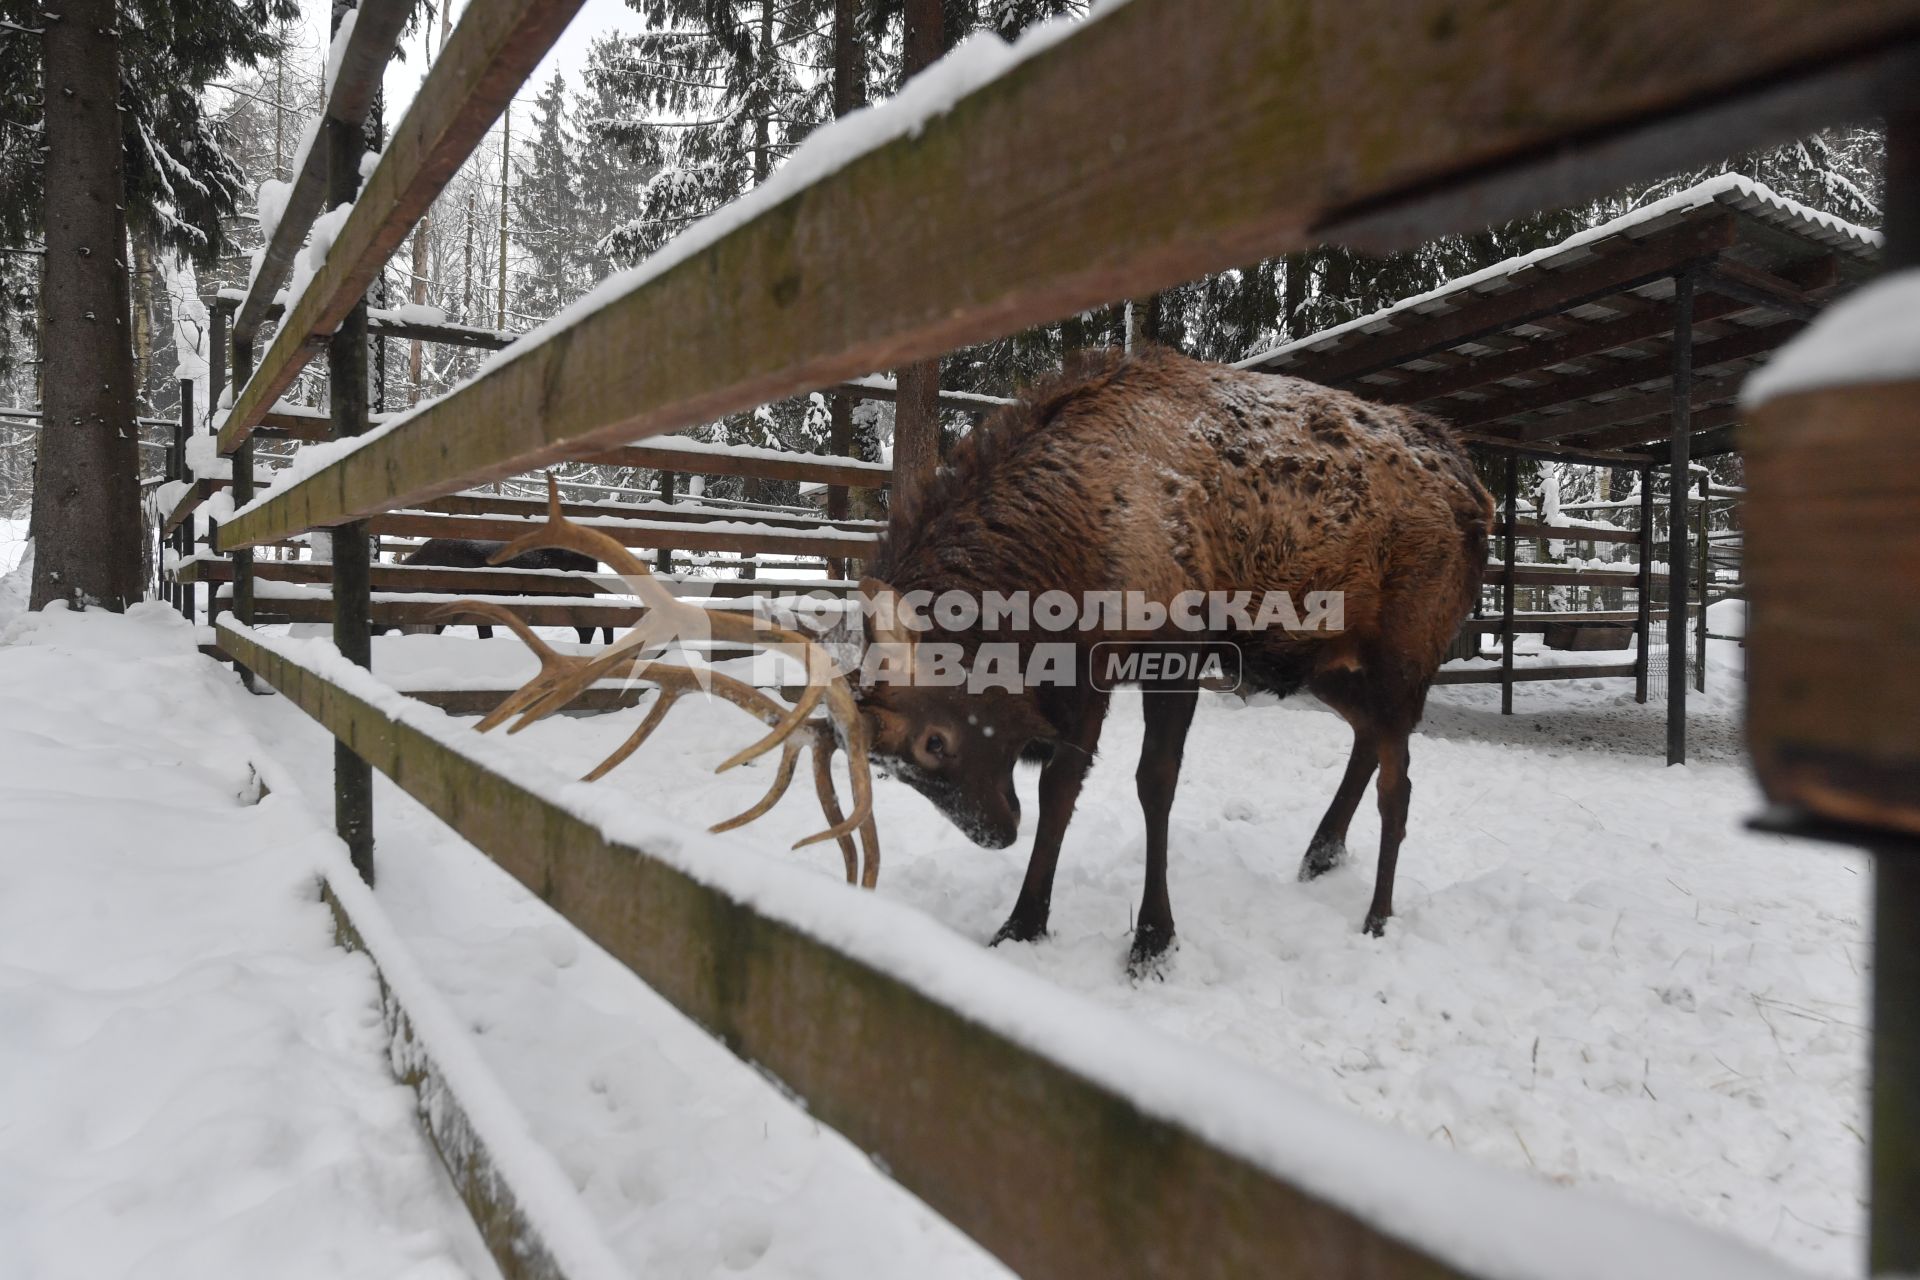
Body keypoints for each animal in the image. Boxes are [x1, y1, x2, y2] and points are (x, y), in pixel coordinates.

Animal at [860, 351, 1497, 971]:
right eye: (888, 768)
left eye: (935, 740)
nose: (993, 834)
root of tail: (1478, 491)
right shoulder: (1091, 671)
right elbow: (1060, 788)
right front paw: (1023, 923)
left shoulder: (1175, 649)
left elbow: (1154, 782)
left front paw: (1152, 936)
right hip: (1326, 663)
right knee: (1369, 738)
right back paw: (1321, 852)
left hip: (1405, 650)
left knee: (1399, 783)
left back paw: (1377, 916)